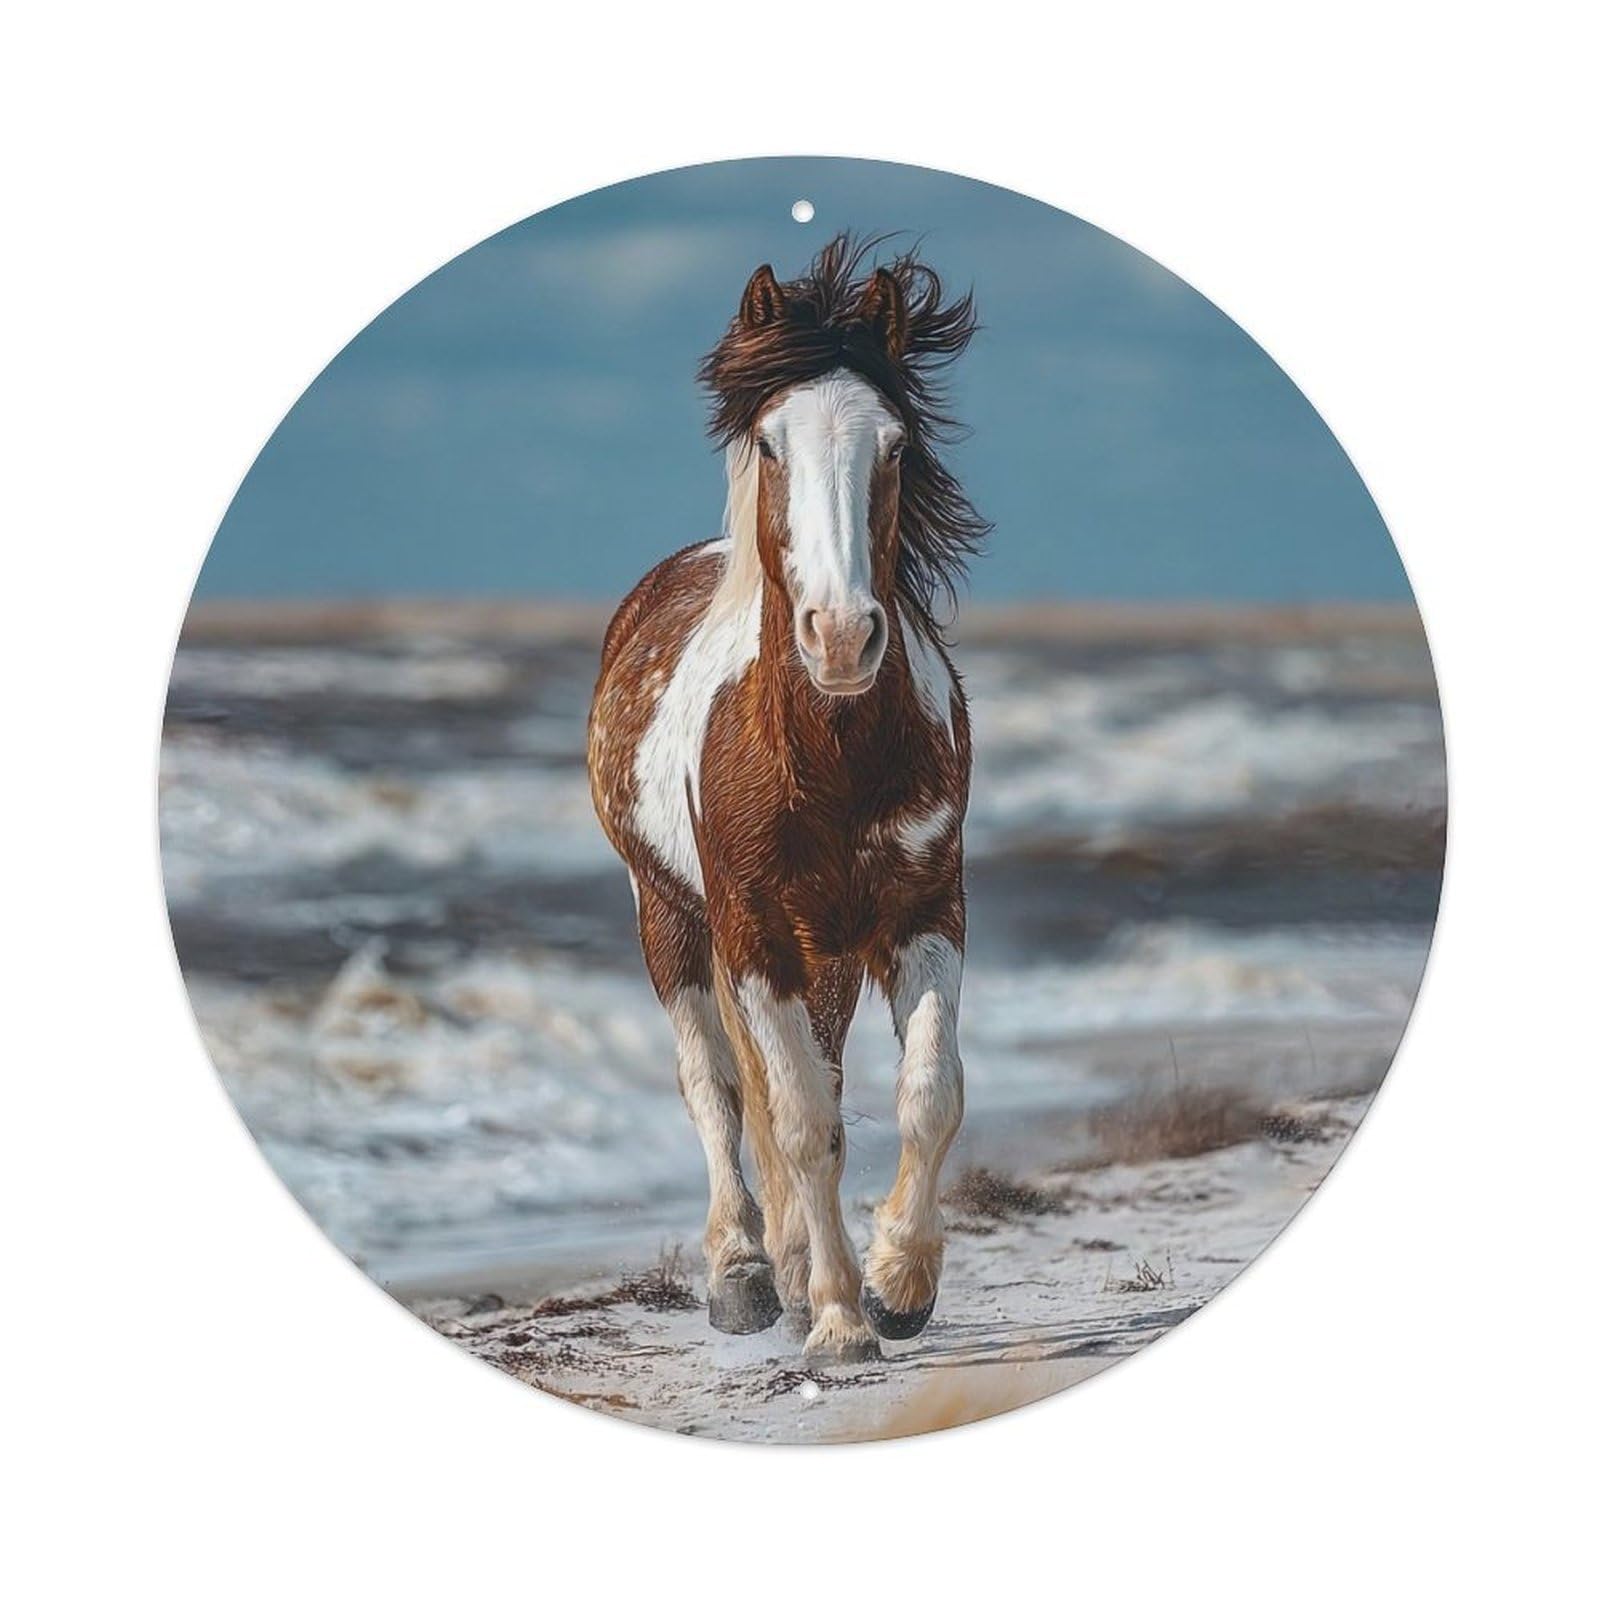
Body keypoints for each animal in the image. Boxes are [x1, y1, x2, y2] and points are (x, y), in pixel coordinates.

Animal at [587, 235, 988, 1364]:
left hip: (831, 953)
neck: (828, 759)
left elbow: (925, 1095)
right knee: (719, 1091)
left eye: (893, 444)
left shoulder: (922, 913)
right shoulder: (755, 935)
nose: (842, 635)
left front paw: (898, 1284)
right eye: (769, 444)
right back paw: (746, 1275)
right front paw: (843, 1323)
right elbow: (796, 1121)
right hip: (672, 921)